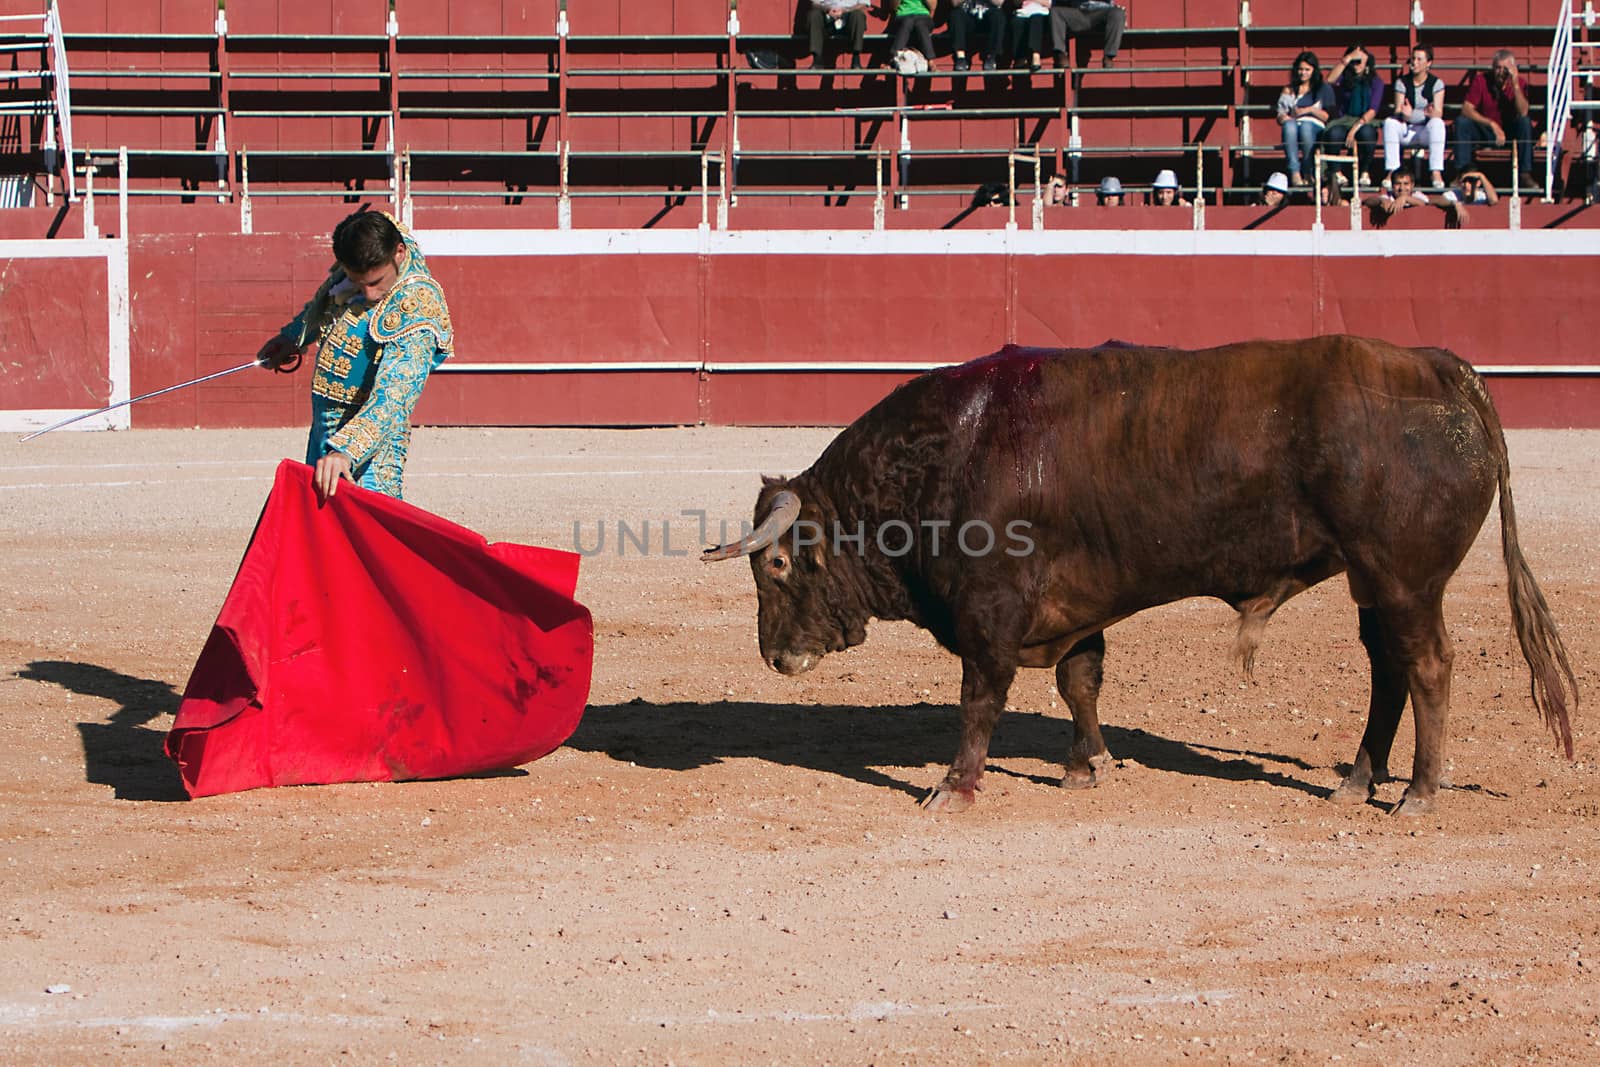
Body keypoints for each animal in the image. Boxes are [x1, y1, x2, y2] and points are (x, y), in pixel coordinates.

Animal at [700, 337, 1574, 812]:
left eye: (776, 562)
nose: (774, 656)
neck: (944, 456)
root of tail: (1439, 367)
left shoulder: (990, 612)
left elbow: (980, 700)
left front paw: (955, 785)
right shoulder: (1076, 606)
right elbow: (1080, 680)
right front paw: (1088, 764)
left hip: (1405, 578)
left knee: (1427, 666)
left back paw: (1417, 791)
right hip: (1372, 582)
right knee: (1387, 669)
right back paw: (1358, 780)